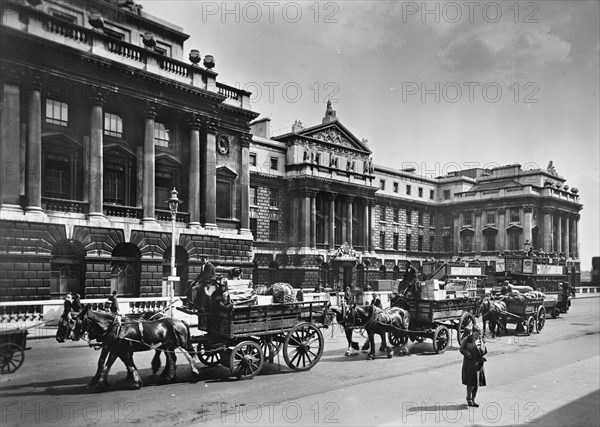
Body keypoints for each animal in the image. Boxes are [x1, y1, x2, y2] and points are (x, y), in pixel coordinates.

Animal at [67, 306, 199, 392]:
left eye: (78, 321)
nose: (72, 336)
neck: (115, 328)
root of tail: (180, 321)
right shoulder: (116, 350)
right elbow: (108, 365)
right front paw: (101, 383)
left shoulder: (122, 351)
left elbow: (127, 364)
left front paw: (135, 382)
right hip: (168, 346)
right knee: (172, 359)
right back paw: (169, 376)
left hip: (181, 343)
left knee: (189, 355)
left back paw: (194, 372)